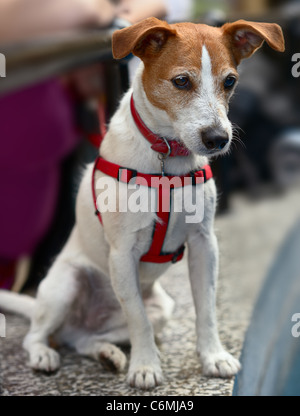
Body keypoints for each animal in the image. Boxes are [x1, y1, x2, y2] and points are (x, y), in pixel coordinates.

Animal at [0, 17, 284, 390]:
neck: (166, 156)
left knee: (84, 340)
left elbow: (206, 309)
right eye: (181, 81)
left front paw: (213, 356)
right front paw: (146, 366)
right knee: (35, 335)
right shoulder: (123, 254)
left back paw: (107, 354)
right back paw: (44, 355)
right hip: (65, 284)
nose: (218, 139)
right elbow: (138, 320)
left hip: (161, 308)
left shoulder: (204, 243)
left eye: (230, 81)